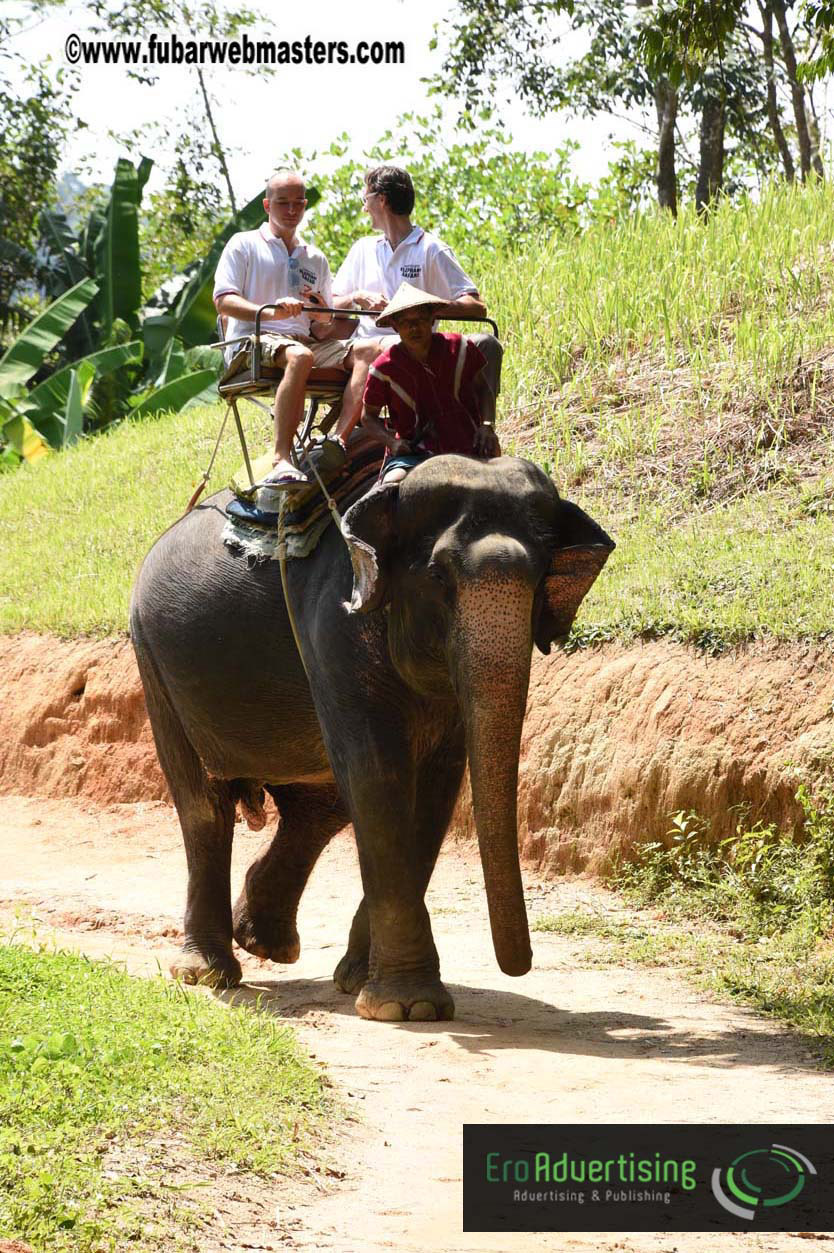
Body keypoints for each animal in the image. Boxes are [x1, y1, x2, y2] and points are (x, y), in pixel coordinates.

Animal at [129, 449, 614, 1022]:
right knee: (205, 806)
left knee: (318, 809)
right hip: (153, 660)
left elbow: (436, 787)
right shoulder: (334, 624)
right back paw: (206, 973)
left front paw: (367, 987)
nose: (520, 966)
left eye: (542, 578)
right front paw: (408, 1008)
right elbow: (377, 772)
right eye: (438, 576)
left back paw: (265, 943)